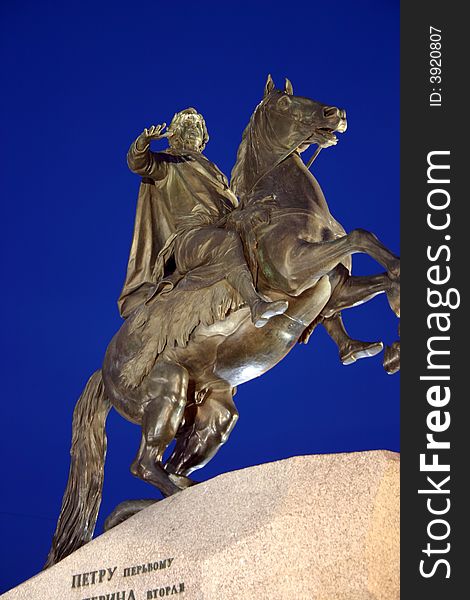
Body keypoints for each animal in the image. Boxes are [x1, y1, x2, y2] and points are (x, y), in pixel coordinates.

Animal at [46, 75, 398, 568]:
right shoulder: (295, 273)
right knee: (144, 463)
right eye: (286, 102)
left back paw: (165, 498)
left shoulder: (335, 286)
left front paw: (382, 347)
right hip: (168, 392)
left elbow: (374, 275)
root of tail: (103, 369)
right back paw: (178, 496)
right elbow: (365, 237)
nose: (336, 114)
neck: (285, 206)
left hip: (214, 417)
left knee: (168, 465)